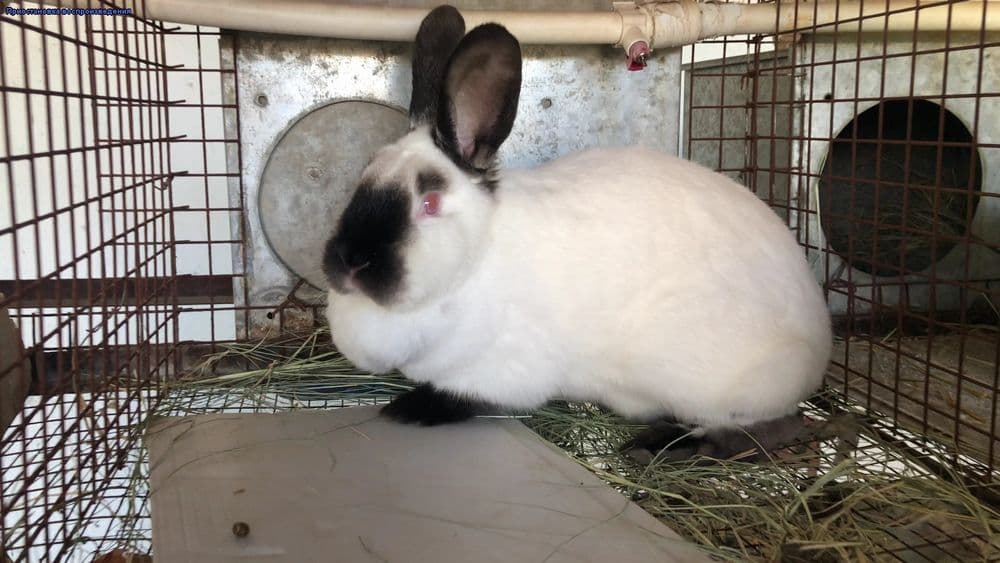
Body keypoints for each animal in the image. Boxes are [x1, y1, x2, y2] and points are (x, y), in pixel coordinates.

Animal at [322, 5, 833, 460]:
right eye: (362, 175)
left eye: (428, 203)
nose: (348, 262)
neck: (473, 265)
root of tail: (819, 351)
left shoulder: (505, 369)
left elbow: (470, 398)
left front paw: (408, 408)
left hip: (717, 388)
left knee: (773, 426)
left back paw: (666, 447)